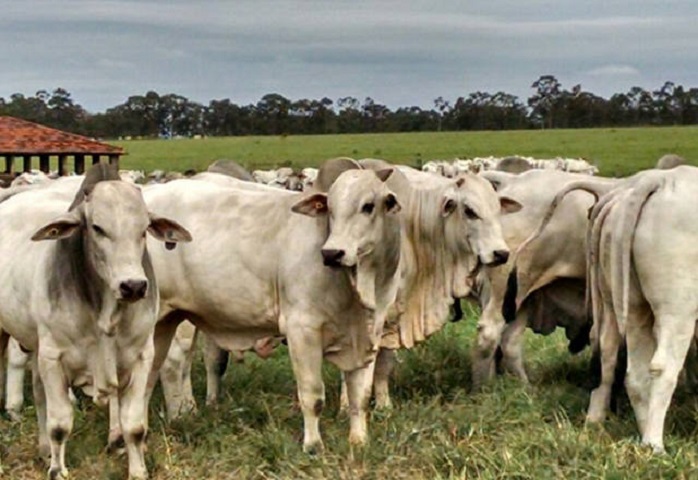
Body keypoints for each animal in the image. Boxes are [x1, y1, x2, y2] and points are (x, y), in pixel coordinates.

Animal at [0, 166, 190, 480]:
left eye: (143, 230)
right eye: (98, 228)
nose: (134, 286)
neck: (106, 315)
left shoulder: (142, 357)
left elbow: (134, 426)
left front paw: (138, 471)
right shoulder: (53, 358)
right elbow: (60, 424)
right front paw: (58, 471)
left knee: (38, 394)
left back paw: (43, 450)